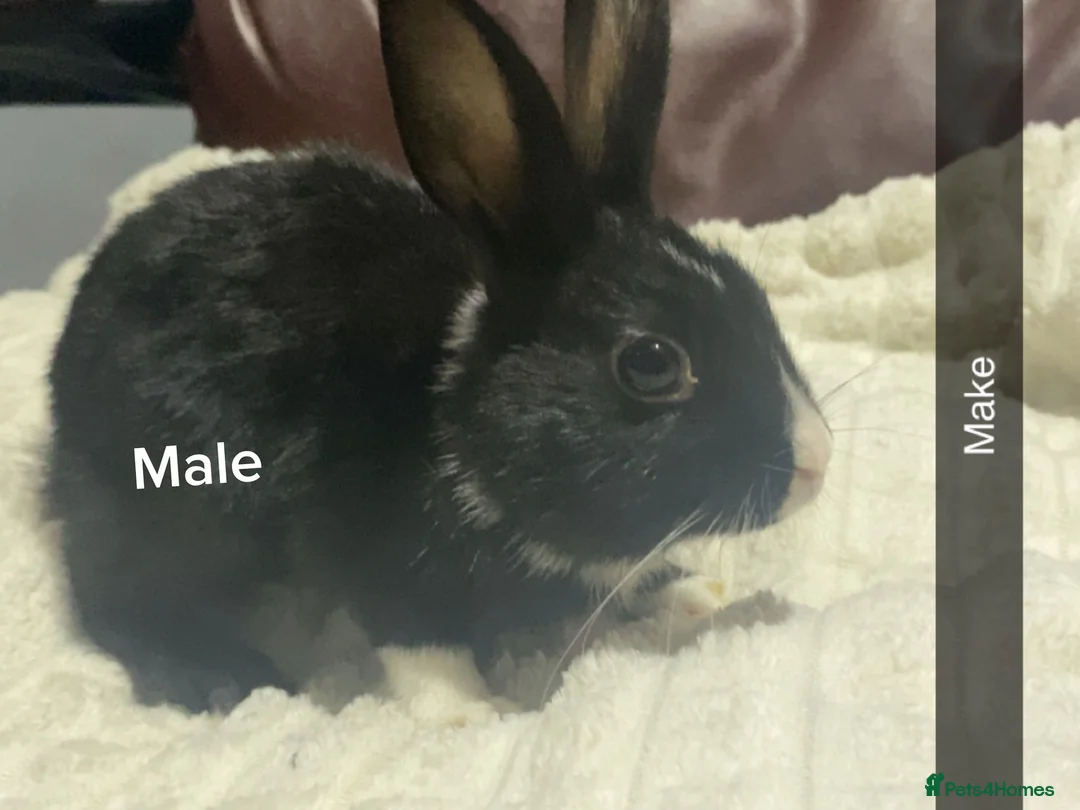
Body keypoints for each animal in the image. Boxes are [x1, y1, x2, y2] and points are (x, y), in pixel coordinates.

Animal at [43, 0, 833, 724]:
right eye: (651, 364)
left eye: (753, 293)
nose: (817, 462)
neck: (458, 411)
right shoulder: (386, 564)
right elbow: (423, 646)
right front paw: (471, 714)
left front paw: (694, 595)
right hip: (163, 510)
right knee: (115, 601)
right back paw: (217, 676)